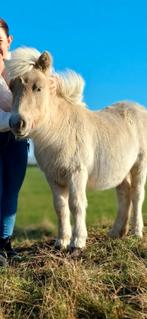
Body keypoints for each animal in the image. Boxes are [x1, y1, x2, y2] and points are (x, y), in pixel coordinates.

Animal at [4, 48, 147, 251]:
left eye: (38, 88)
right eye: (11, 88)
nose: (17, 123)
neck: (59, 131)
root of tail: (138, 108)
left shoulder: (76, 172)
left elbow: (76, 204)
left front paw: (78, 242)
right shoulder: (53, 176)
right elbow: (60, 207)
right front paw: (61, 241)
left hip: (139, 164)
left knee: (137, 194)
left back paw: (136, 232)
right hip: (121, 170)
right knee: (124, 194)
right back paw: (116, 233)